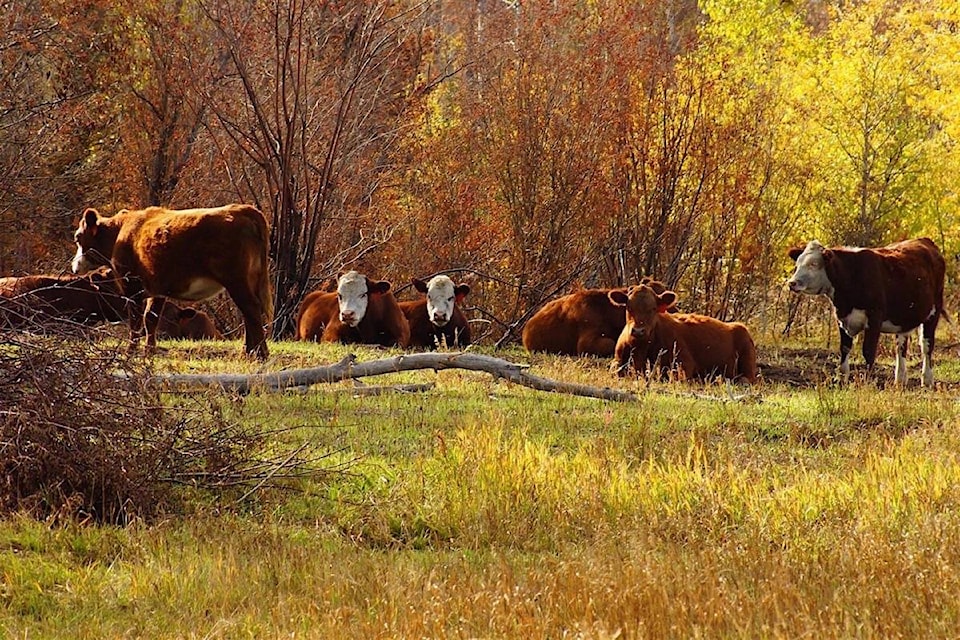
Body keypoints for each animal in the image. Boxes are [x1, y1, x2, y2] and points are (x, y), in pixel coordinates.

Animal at [70, 204, 274, 360]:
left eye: (78, 237)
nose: (74, 267)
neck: (120, 233)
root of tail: (241, 209)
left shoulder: (132, 287)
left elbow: (136, 322)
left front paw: (130, 352)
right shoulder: (157, 289)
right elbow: (150, 319)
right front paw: (149, 352)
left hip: (236, 280)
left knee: (251, 309)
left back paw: (259, 354)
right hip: (249, 279)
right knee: (249, 313)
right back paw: (249, 351)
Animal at [608, 282, 756, 382]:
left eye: (653, 308)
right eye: (629, 307)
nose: (638, 331)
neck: (641, 348)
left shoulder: (684, 362)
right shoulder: (618, 360)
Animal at [788, 235, 944, 384]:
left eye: (813, 264)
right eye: (797, 264)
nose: (792, 283)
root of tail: (924, 240)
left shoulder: (875, 318)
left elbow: (868, 351)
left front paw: (867, 380)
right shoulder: (842, 318)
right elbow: (844, 348)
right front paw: (841, 378)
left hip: (933, 312)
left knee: (926, 346)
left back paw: (927, 379)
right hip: (904, 318)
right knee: (901, 346)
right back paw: (900, 379)